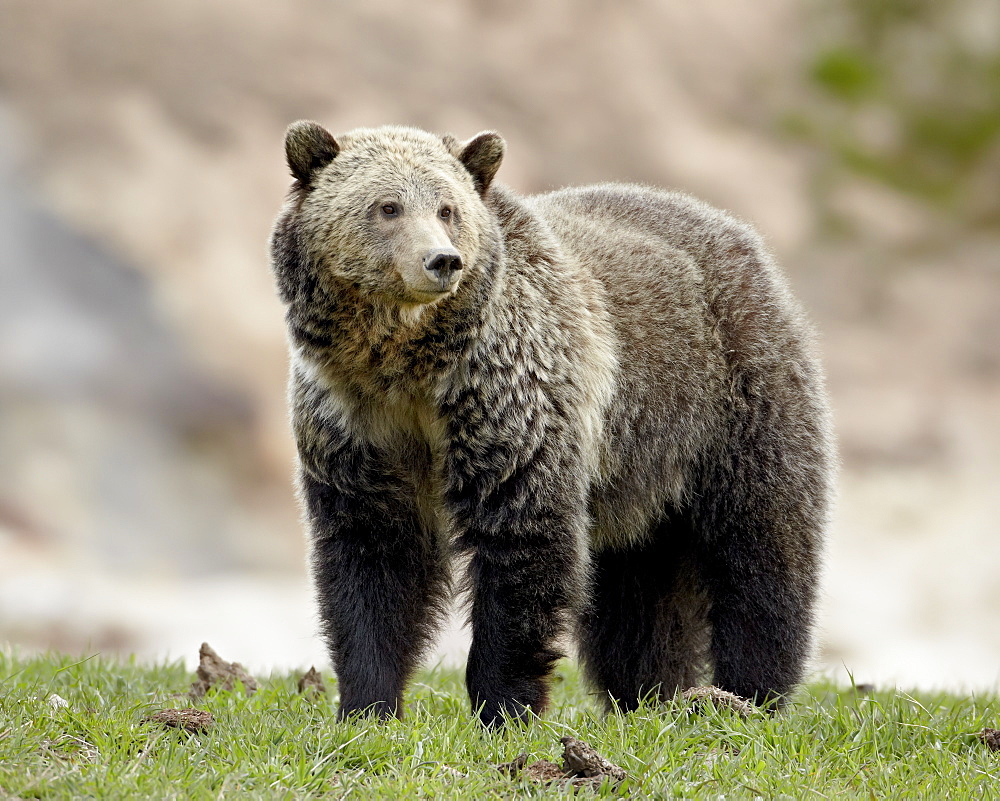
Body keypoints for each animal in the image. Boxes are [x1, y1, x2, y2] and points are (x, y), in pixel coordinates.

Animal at [270, 122, 832, 728]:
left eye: (447, 208)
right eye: (387, 206)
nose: (442, 261)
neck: (411, 369)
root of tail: (731, 228)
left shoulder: (510, 399)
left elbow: (522, 539)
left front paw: (503, 706)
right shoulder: (355, 425)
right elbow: (370, 558)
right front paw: (368, 706)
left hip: (733, 394)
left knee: (762, 547)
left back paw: (749, 693)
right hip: (639, 466)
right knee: (636, 592)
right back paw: (647, 695)